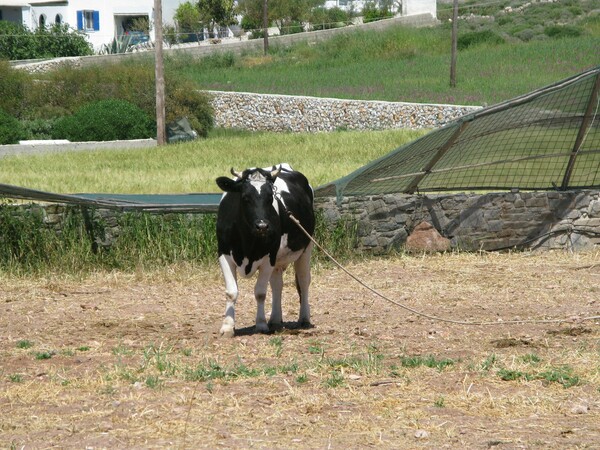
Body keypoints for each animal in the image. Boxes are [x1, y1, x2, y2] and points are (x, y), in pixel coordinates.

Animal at [217, 163, 318, 336]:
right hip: (278, 259)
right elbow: (231, 292)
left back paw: (304, 318)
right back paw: (275, 319)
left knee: (304, 280)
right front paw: (227, 327)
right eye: (245, 197)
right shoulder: (224, 255)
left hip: (306, 247)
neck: (247, 242)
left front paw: (261, 324)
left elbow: (260, 293)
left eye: (270, 198)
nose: (263, 226)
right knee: (277, 284)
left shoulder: (268, 258)